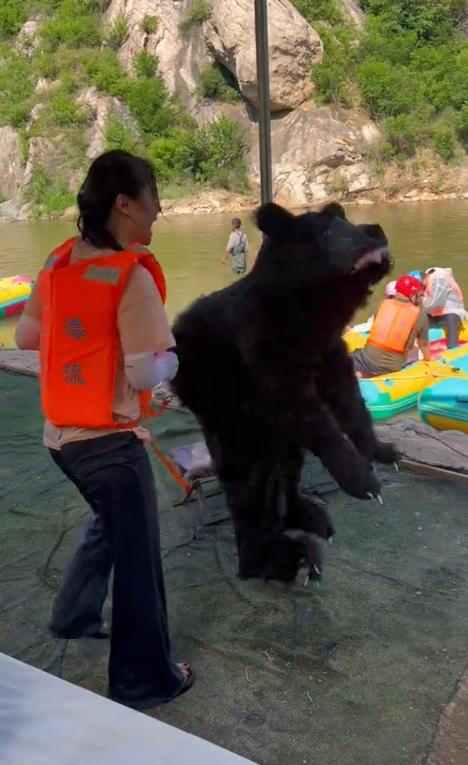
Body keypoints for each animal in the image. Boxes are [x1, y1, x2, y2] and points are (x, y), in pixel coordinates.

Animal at [172, 202, 397, 584]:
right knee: (250, 488)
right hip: (231, 423)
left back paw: (309, 516)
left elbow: (351, 402)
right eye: (329, 229)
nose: (377, 229)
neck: (308, 316)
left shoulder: (327, 352)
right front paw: (363, 480)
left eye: (345, 218)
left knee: (286, 470)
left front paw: (384, 451)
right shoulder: (264, 354)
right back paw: (283, 558)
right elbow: (309, 414)